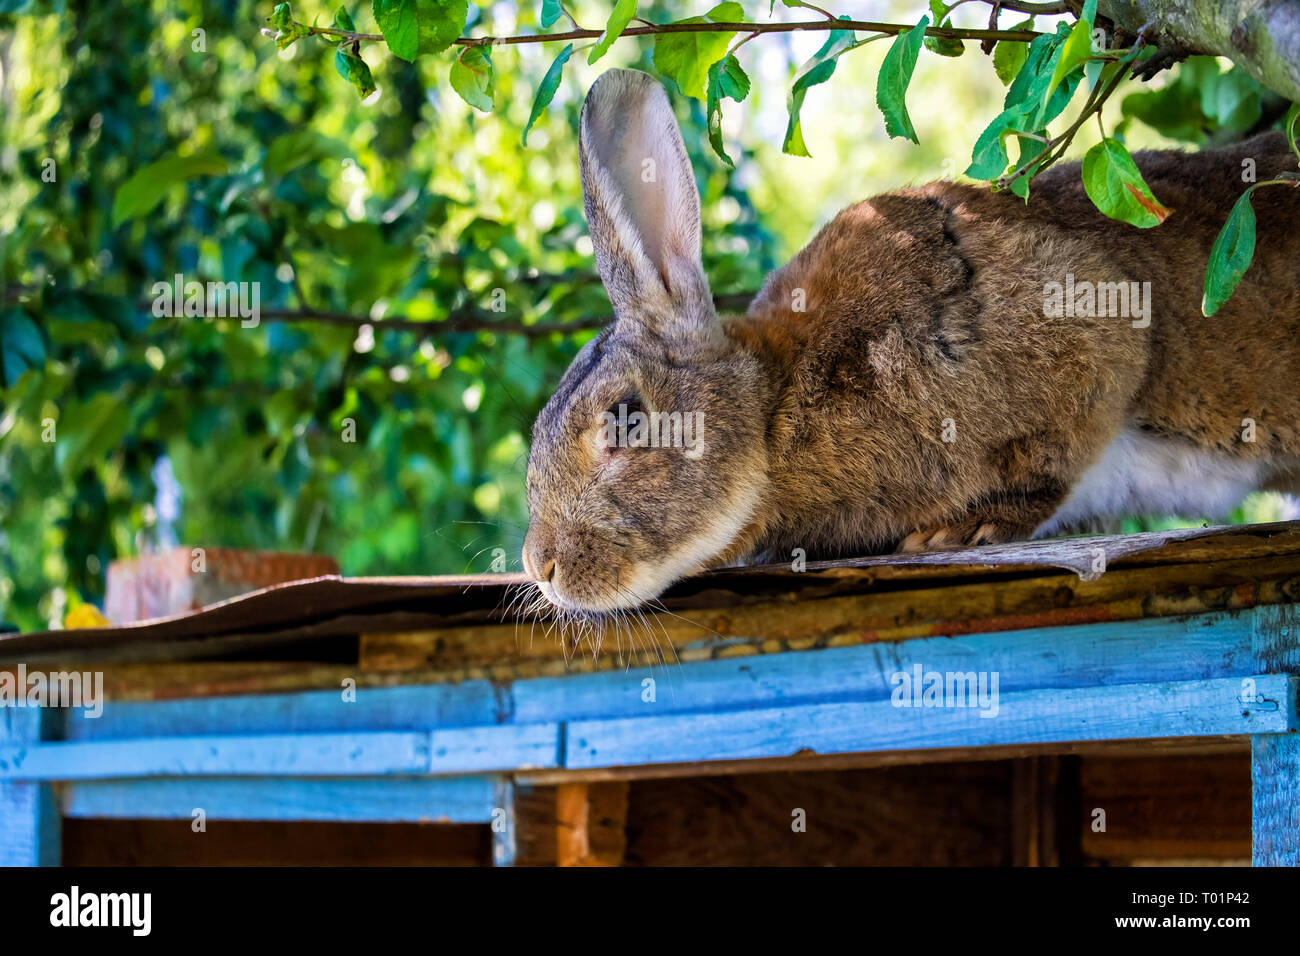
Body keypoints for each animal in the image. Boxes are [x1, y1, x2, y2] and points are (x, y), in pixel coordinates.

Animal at [522, 67, 1300, 614]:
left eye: (627, 418)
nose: (541, 567)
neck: (775, 415)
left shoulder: (1093, 327)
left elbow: (1052, 462)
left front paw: (962, 535)